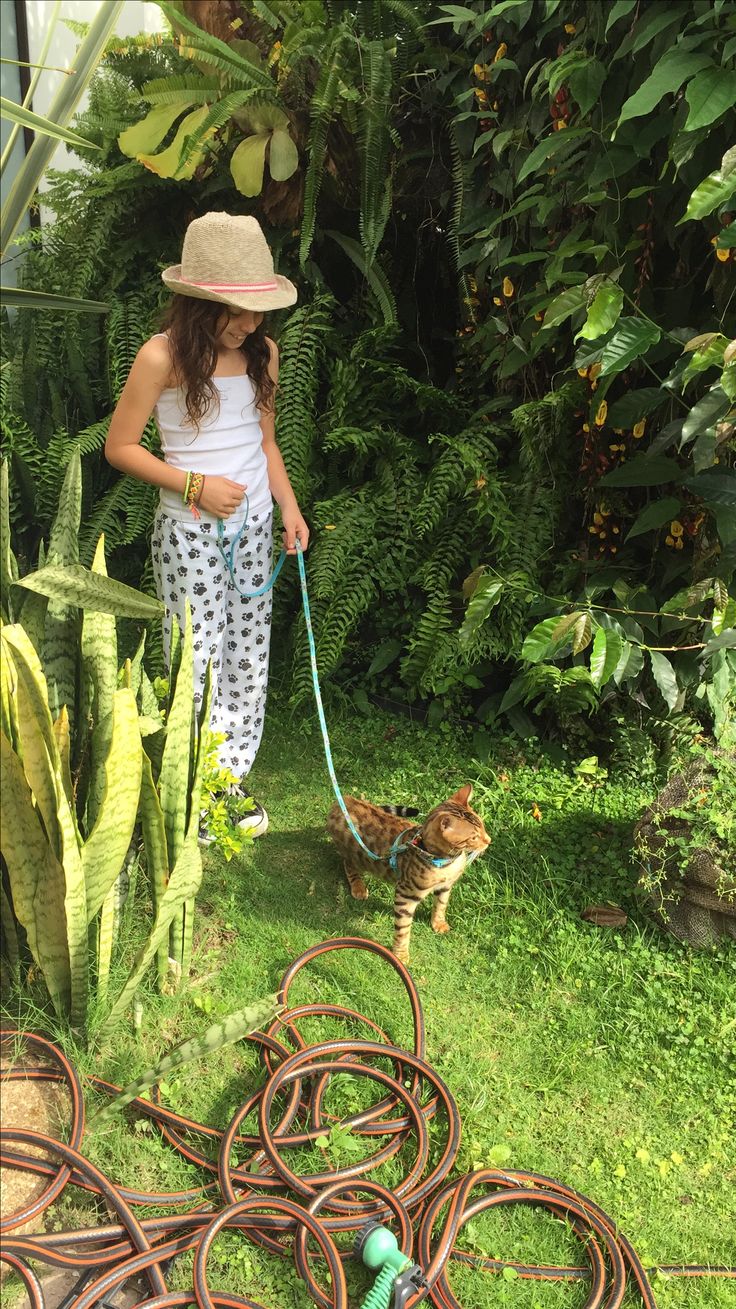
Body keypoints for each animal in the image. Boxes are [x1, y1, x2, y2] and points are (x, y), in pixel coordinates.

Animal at [324, 785, 487, 963]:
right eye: (473, 837)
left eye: (483, 827)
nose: (489, 840)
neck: (444, 862)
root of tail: (346, 800)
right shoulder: (405, 895)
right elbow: (403, 929)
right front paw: (400, 954)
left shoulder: (445, 886)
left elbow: (441, 905)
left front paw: (438, 923)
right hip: (354, 854)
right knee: (348, 865)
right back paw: (358, 886)